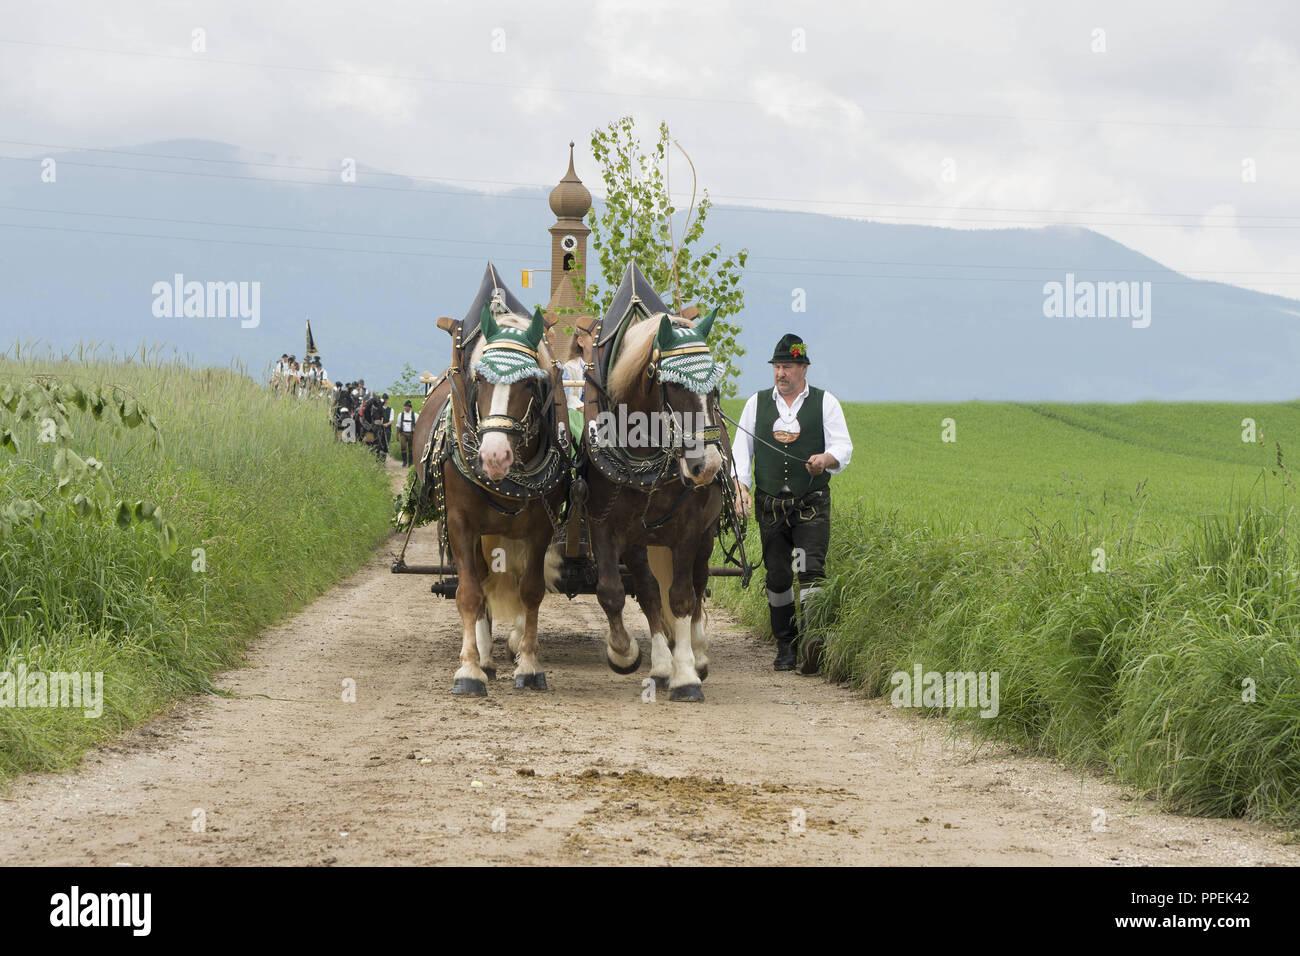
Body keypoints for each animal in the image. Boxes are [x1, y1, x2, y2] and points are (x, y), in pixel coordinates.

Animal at [585, 312, 728, 702]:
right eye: (674, 386)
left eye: (715, 390)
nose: (708, 465)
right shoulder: (604, 522)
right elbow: (614, 591)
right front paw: (625, 653)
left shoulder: (689, 527)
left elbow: (681, 597)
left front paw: (686, 676)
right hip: (639, 538)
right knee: (648, 589)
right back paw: (663, 664)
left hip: (705, 535)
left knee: (698, 581)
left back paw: (697, 654)